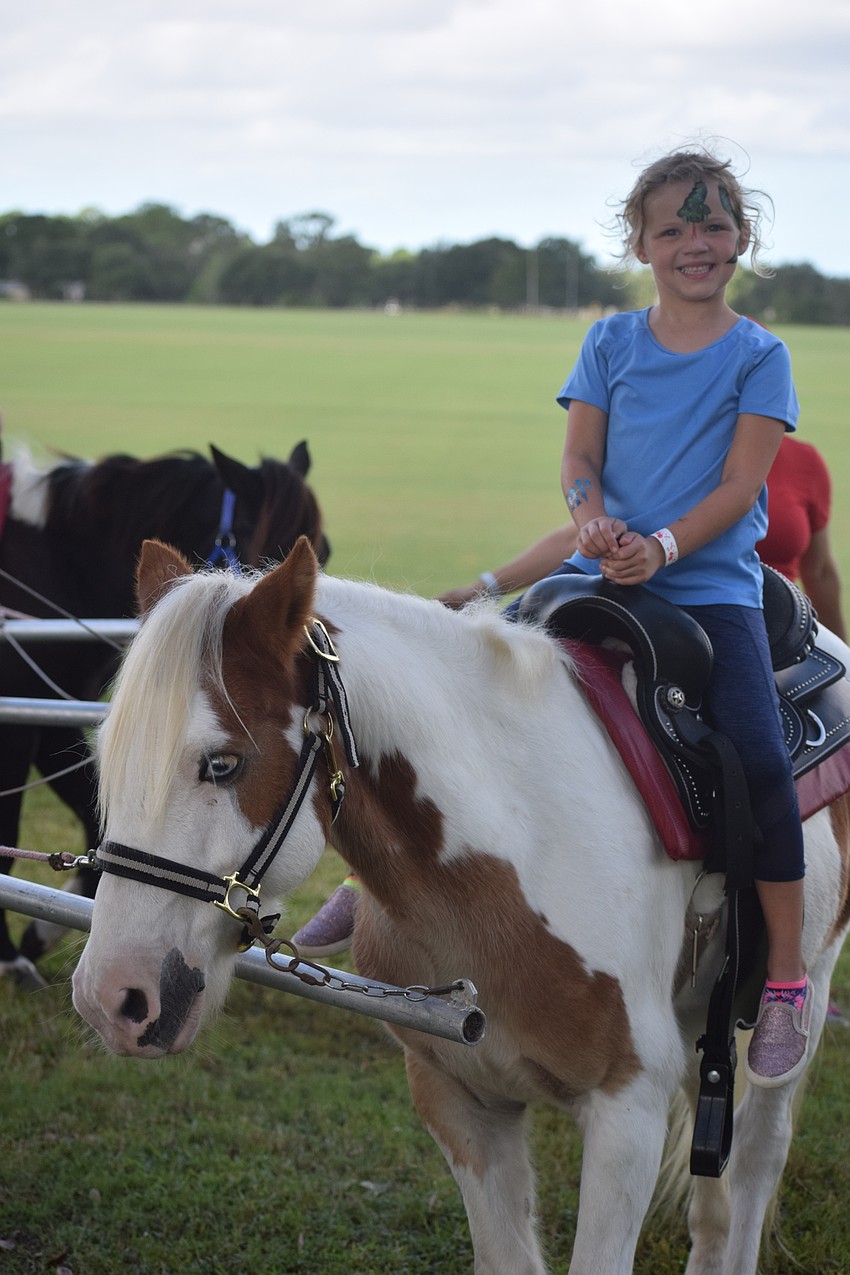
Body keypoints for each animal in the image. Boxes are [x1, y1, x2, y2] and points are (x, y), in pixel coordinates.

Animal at [0, 443, 328, 985]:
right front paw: (11, 954)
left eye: (327, 549)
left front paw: (43, 929)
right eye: (265, 543)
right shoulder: (19, 725)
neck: (55, 559)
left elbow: (99, 824)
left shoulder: (48, 725)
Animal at [72, 538, 850, 1275]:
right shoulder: (460, 1098)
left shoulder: (627, 1110)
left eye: (223, 763)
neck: (520, 844)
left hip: (806, 989)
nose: (113, 997)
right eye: (105, 755)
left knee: (757, 1157)